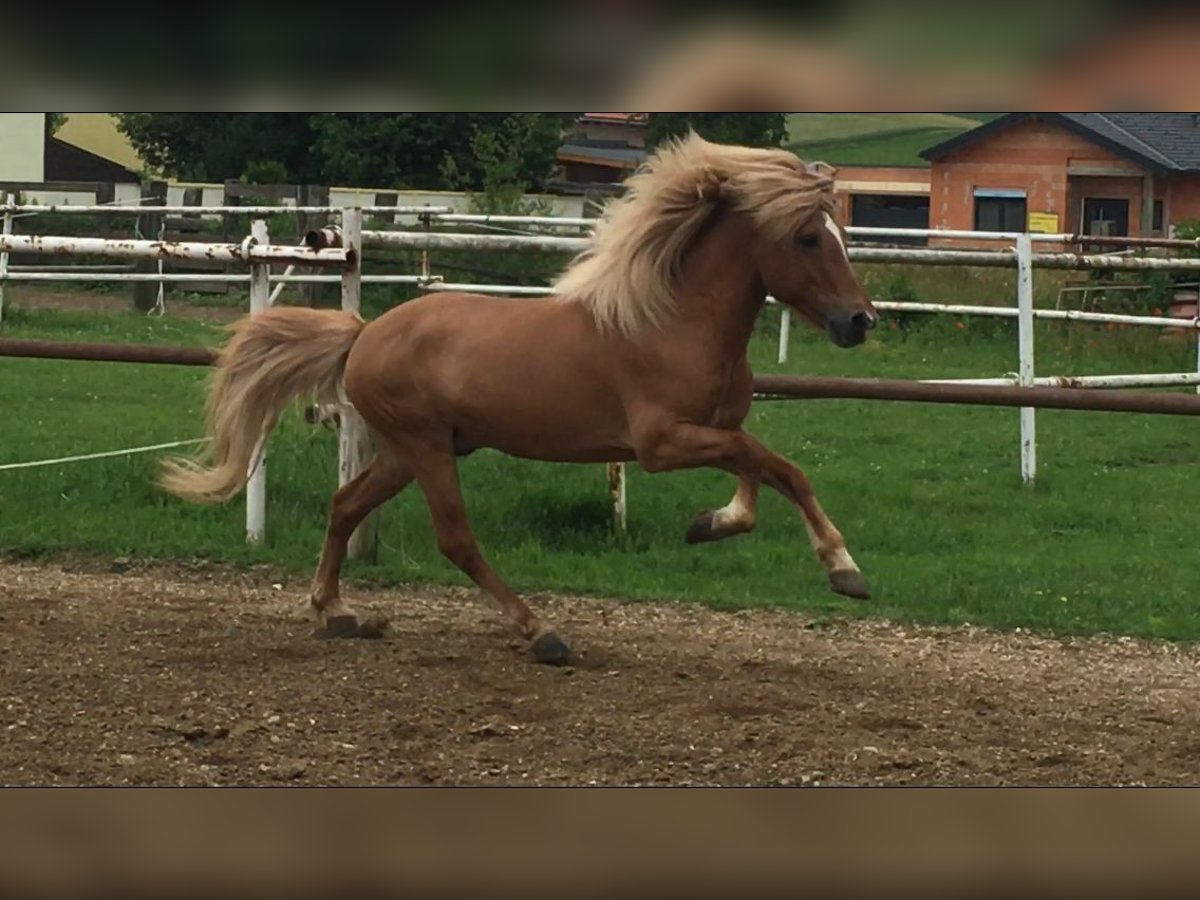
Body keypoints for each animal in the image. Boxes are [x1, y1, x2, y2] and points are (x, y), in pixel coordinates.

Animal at [159, 132, 878, 672]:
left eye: (841, 236)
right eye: (808, 239)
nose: (860, 322)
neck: (671, 323)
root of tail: (363, 334)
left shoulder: (712, 430)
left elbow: (757, 471)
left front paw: (712, 524)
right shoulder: (661, 442)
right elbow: (779, 465)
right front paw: (845, 570)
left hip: (409, 451)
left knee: (345, 506)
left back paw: (336, 613)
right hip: (424, 447)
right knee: (455, 538)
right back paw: (542, 633)